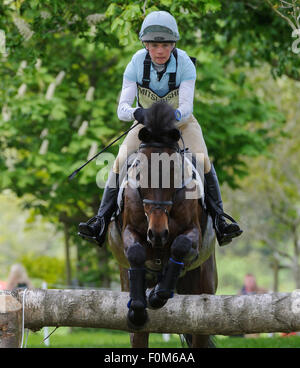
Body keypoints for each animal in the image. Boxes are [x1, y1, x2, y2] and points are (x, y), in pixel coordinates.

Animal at [108, 101, 218, 348]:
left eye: (174, 171)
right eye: (139, 171)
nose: (158, 234)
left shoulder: (194, 234)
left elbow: (180, 246)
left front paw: (158, 294)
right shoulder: (129, 231)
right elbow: (137, 252)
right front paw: (139, 307)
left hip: (203, 290)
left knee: (201, 330)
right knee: (139, 336)